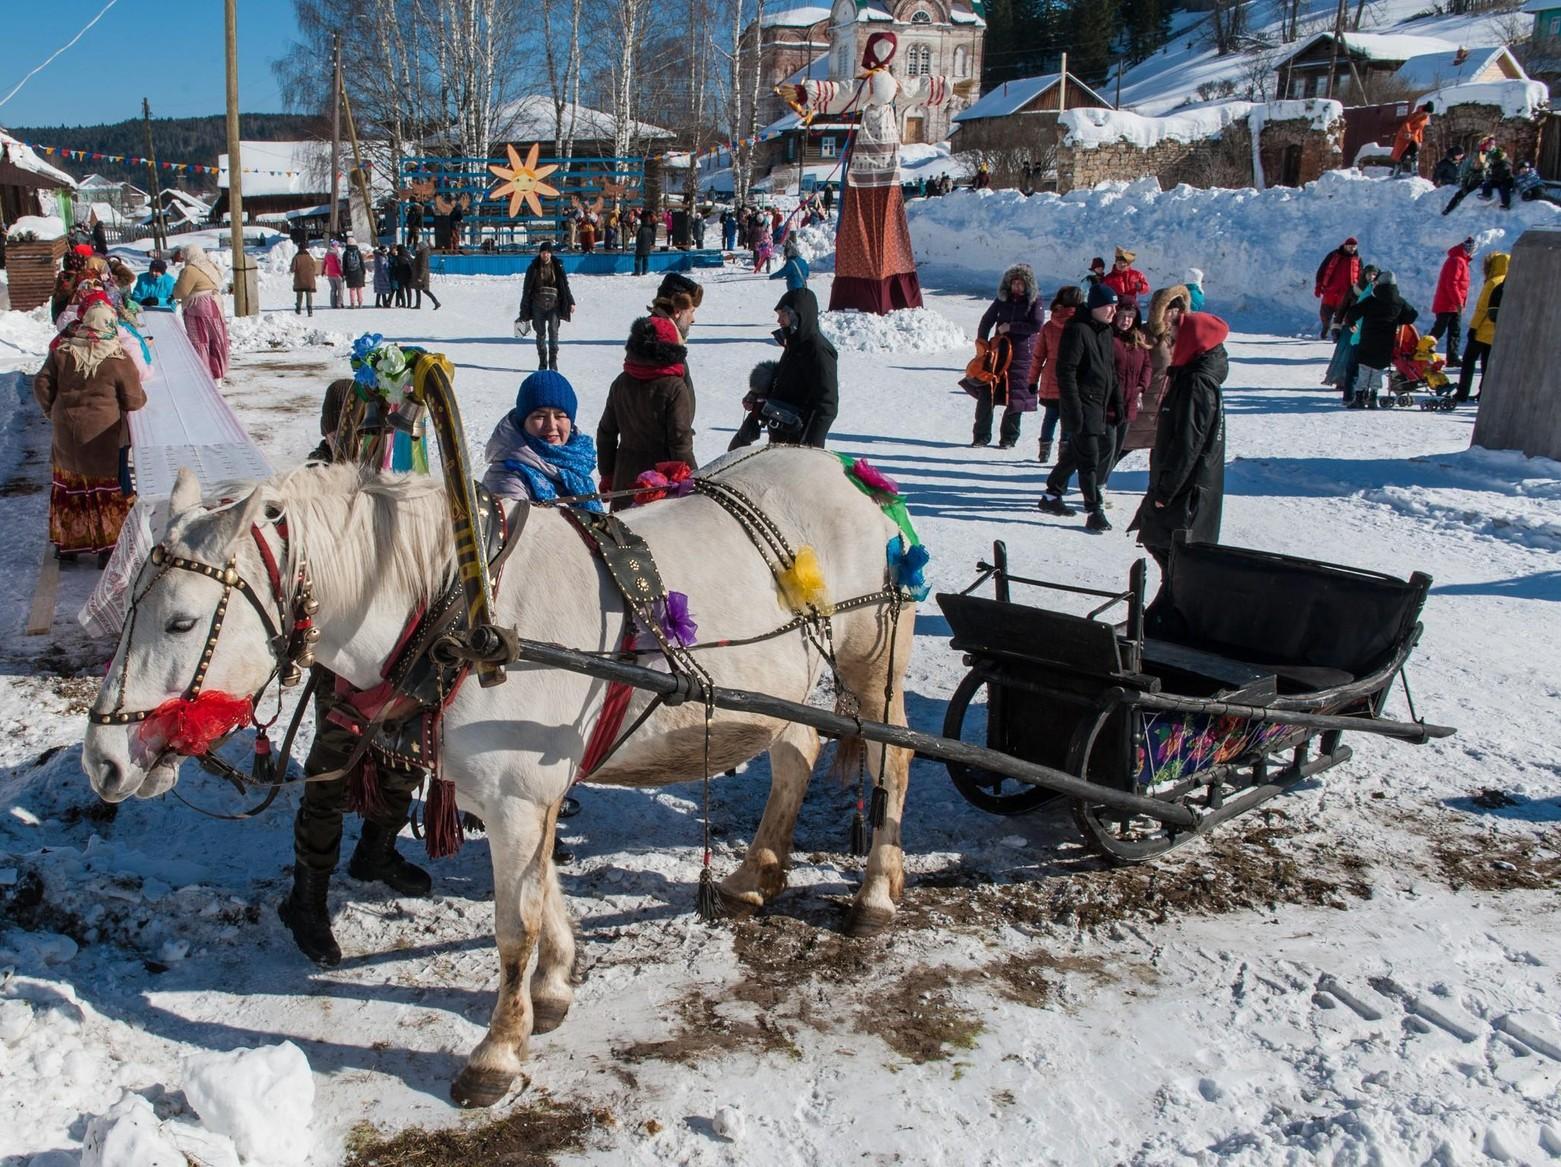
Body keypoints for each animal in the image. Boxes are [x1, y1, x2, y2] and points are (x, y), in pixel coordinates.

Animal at [82, 443, 911, 1110]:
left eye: (183, 621)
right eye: (131, 605)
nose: (102, 758)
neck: (462, 615)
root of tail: (848, 471)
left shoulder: (518, 797)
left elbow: (515, 926)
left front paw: (498, 1052)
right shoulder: (526, 796)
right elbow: (545, 892)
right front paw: (554, 986)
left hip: (871, 659)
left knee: (890, 761)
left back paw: (874, 894)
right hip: (787, 683)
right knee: (797, 750)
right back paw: (753, 875)